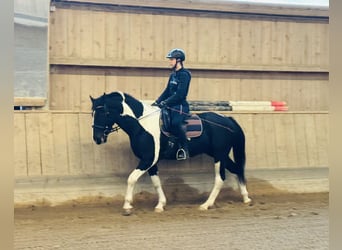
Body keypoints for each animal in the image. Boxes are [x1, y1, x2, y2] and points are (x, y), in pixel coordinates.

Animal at [91, 92, 251, 215]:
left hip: (219, 155)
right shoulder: (151, 162)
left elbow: (131, 179)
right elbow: (156, 183)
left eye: (104, 112)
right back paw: (246, 198)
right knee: (237, 169)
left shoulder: (148, 159)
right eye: (93, 113)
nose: (98, 138)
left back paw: (206, 205)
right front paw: (160, 205)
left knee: (220, 178)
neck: (142, 125)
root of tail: (227, 120)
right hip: (220, 155)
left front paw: (127, 206)